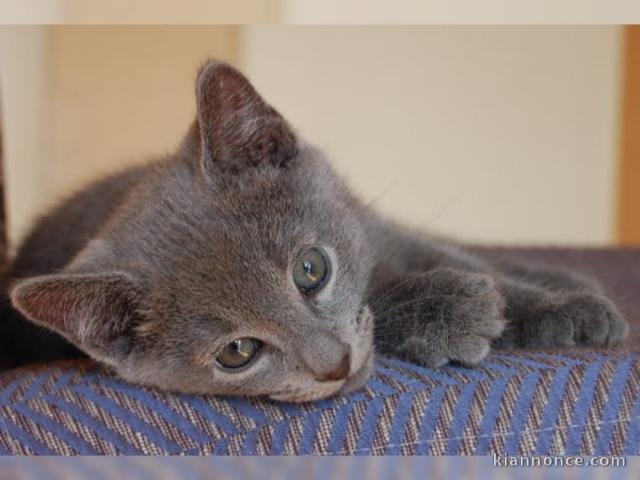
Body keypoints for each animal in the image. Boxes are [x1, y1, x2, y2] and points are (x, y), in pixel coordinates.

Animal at [0, 62, 628, 404]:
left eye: (311, 270)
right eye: (238, 352)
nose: (335, 366)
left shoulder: (372, 227)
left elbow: (444, 254)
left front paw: (568, 310)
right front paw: (449, 308)